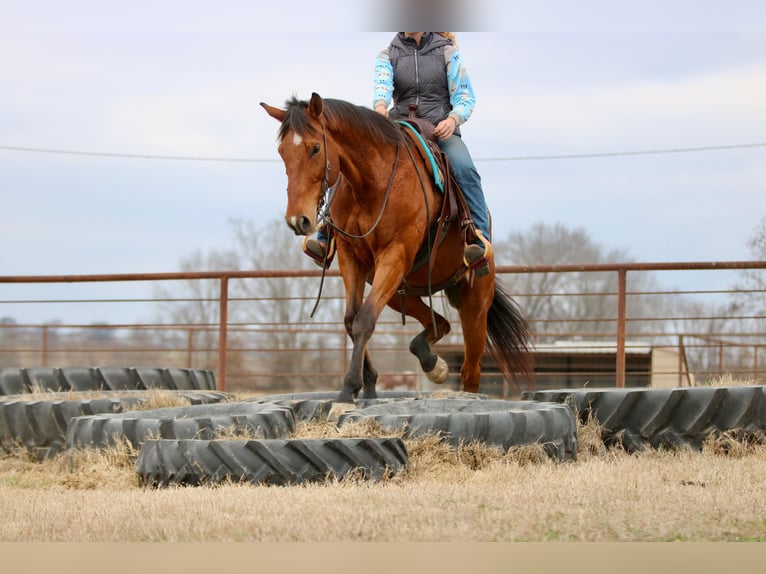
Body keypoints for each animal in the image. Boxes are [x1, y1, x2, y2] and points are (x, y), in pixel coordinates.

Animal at [261, 93, 532, 402]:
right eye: (282, 151)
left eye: (315, 148)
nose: (298, 220)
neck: (372, 184)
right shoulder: (351, 258)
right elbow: (351, 320)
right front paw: (367, 384)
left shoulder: (395, 254)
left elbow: (364, 320)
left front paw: (348, 389)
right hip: (400, 293)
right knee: (439, 323)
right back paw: (432, 363)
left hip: (474, 303)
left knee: (470, 370)